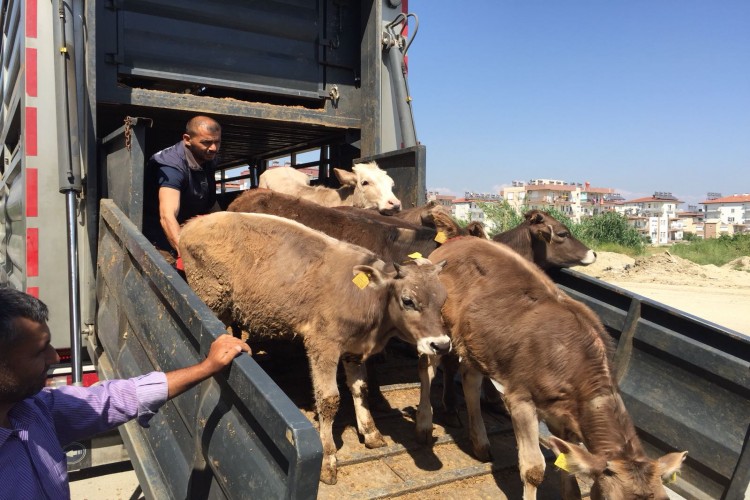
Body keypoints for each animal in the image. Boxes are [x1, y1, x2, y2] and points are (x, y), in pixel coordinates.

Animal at [180, 212, 452, 484]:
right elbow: (329, 399)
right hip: (209, 297)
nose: (441, 344)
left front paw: (370, 431)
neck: (367, 298)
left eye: (443, 299)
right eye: (408, 300)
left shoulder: (354, 348)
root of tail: (195, 222)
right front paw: (328, 459)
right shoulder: (323, 344)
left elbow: (360, 389)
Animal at [418, 237, 688, 496]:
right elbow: (534, 470)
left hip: (477, 342)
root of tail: (454, 244)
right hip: (437, 330)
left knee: (469, 378)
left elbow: (569, 471)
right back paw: (427, 423)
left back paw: (480, 443)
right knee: (430, 367)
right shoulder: (520, 399)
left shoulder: (565, 417)